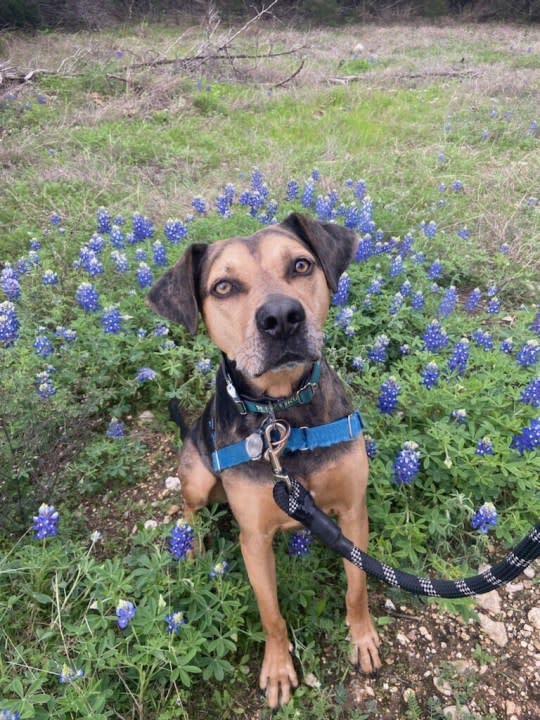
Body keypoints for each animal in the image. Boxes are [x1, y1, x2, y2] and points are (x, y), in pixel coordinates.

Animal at [148, 211, 380, 704]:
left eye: (301, 265)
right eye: (223, 287)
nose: (281, 317)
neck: (282, 416)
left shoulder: (353, 511)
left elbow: (357, 586)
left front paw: (362, 638)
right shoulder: (254, 538)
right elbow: (270, 612)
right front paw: (276, 670)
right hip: (198, 473)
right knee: (190, 507)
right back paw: (192, 546)